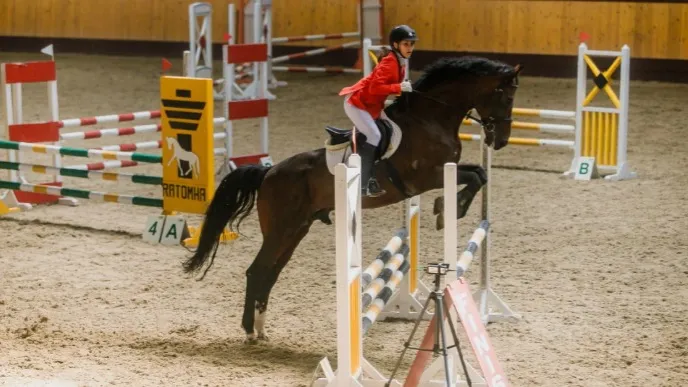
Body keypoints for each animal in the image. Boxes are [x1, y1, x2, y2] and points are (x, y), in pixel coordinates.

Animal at [180, 55, 520, 342]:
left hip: (296, 230)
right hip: (280, 230)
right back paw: (250, 331)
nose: (500, 141)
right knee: (256, 271)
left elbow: (480, 173)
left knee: (270, 273)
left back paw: (261, 329)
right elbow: (473, 177)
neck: (431, 118)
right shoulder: (428, 177)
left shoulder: (443, 171)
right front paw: (447, 209)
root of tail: (268, 172)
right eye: (506, 97)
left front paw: (450, 207)